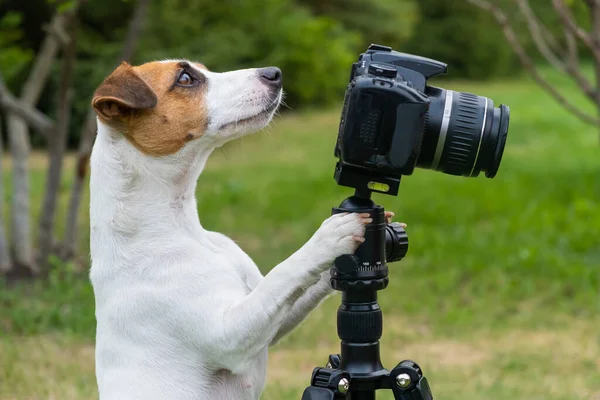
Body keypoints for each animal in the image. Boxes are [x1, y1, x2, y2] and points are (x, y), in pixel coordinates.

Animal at [89, 60, 396, 400]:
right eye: (186, 78)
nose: (274, 73)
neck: (180, 228)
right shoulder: (229, 332)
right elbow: (285, 271)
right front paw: (329, 237)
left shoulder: (274, 319)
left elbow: (298, 284)